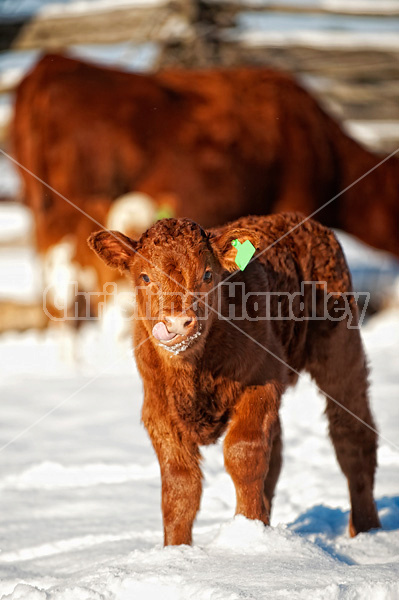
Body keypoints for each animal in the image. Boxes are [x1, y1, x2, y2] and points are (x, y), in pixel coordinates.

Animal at [87, 213, 382, 548]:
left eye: (207, 274)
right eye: (145, 278)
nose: (176, 323)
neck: (193, 373)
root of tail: (303, 221)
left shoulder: (260, 383)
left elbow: (244, 455)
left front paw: (249, 531)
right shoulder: (158, 409)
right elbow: (180, 484)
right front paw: (177, 550)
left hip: (341, 349)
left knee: (352, 434)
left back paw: (367, 532)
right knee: (277, 453)